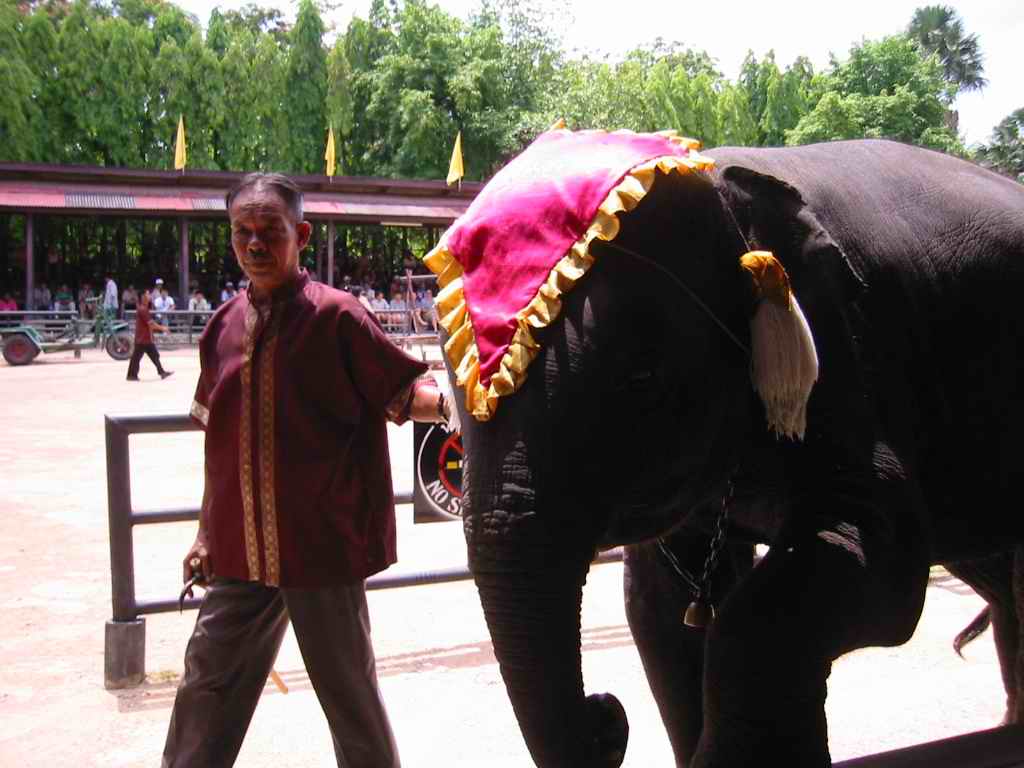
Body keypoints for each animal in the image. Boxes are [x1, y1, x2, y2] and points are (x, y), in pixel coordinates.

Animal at [423, 132, 1024, 767]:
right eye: (452, 391)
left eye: (641, 379)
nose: (606, 714)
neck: (720, 176)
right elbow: (661, 608)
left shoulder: (850, 357)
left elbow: (874, 565)